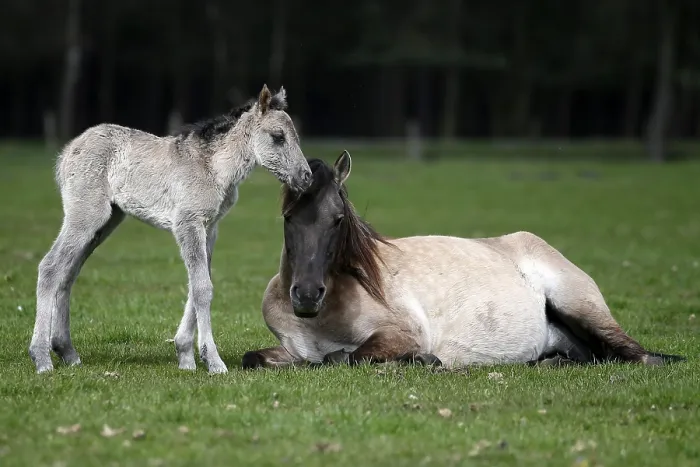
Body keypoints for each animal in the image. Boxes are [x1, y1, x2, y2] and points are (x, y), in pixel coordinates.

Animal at [29, 84, 312, 375]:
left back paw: (67, 351)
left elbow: (198, 283)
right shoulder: (188, 223)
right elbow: (202, 287)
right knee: (50, 267)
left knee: (68, 273)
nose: (306, 177)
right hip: (86, 216)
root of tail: (68, 151)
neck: (213, 167)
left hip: (106, 222)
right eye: (278, 137)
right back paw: (41, 358)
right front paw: (213, 362)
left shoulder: (210, 228)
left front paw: (185, 356)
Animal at [242, 151, 684, 369]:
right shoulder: (293, 349)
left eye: (337, 219)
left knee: (639, 357)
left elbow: (343, 358)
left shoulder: (398, 334)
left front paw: (424, 360)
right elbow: (256, 359)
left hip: (581, 307)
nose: (306, 296)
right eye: (288, 217)